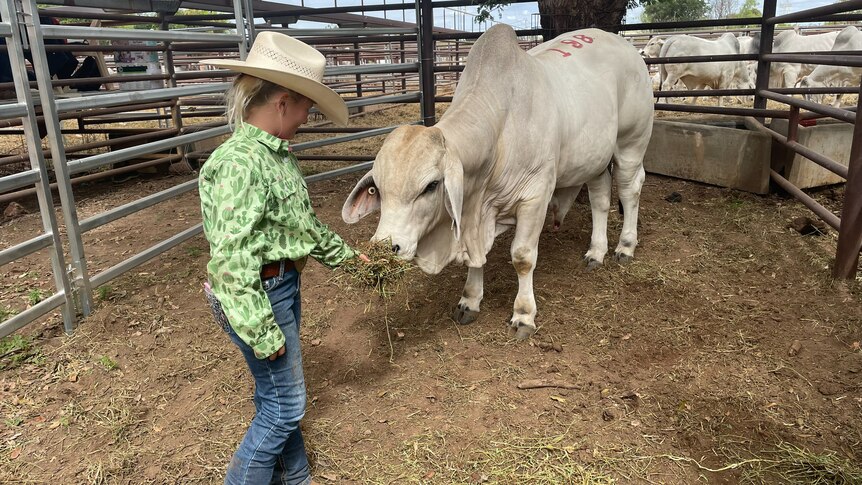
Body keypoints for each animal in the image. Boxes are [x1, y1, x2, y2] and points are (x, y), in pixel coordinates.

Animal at [344, 24, 656, 338]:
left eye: (430, 186)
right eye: (377, 190)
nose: (386, 247)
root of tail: (627, 47)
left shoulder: (536, 195)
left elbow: (522, 257)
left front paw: (524, 314)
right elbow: (476, 258)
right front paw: (469, 300)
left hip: (631, 143)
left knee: (630, 190)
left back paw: (625, 246)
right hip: (595, 159)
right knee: (600, 199)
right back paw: (596, 252)